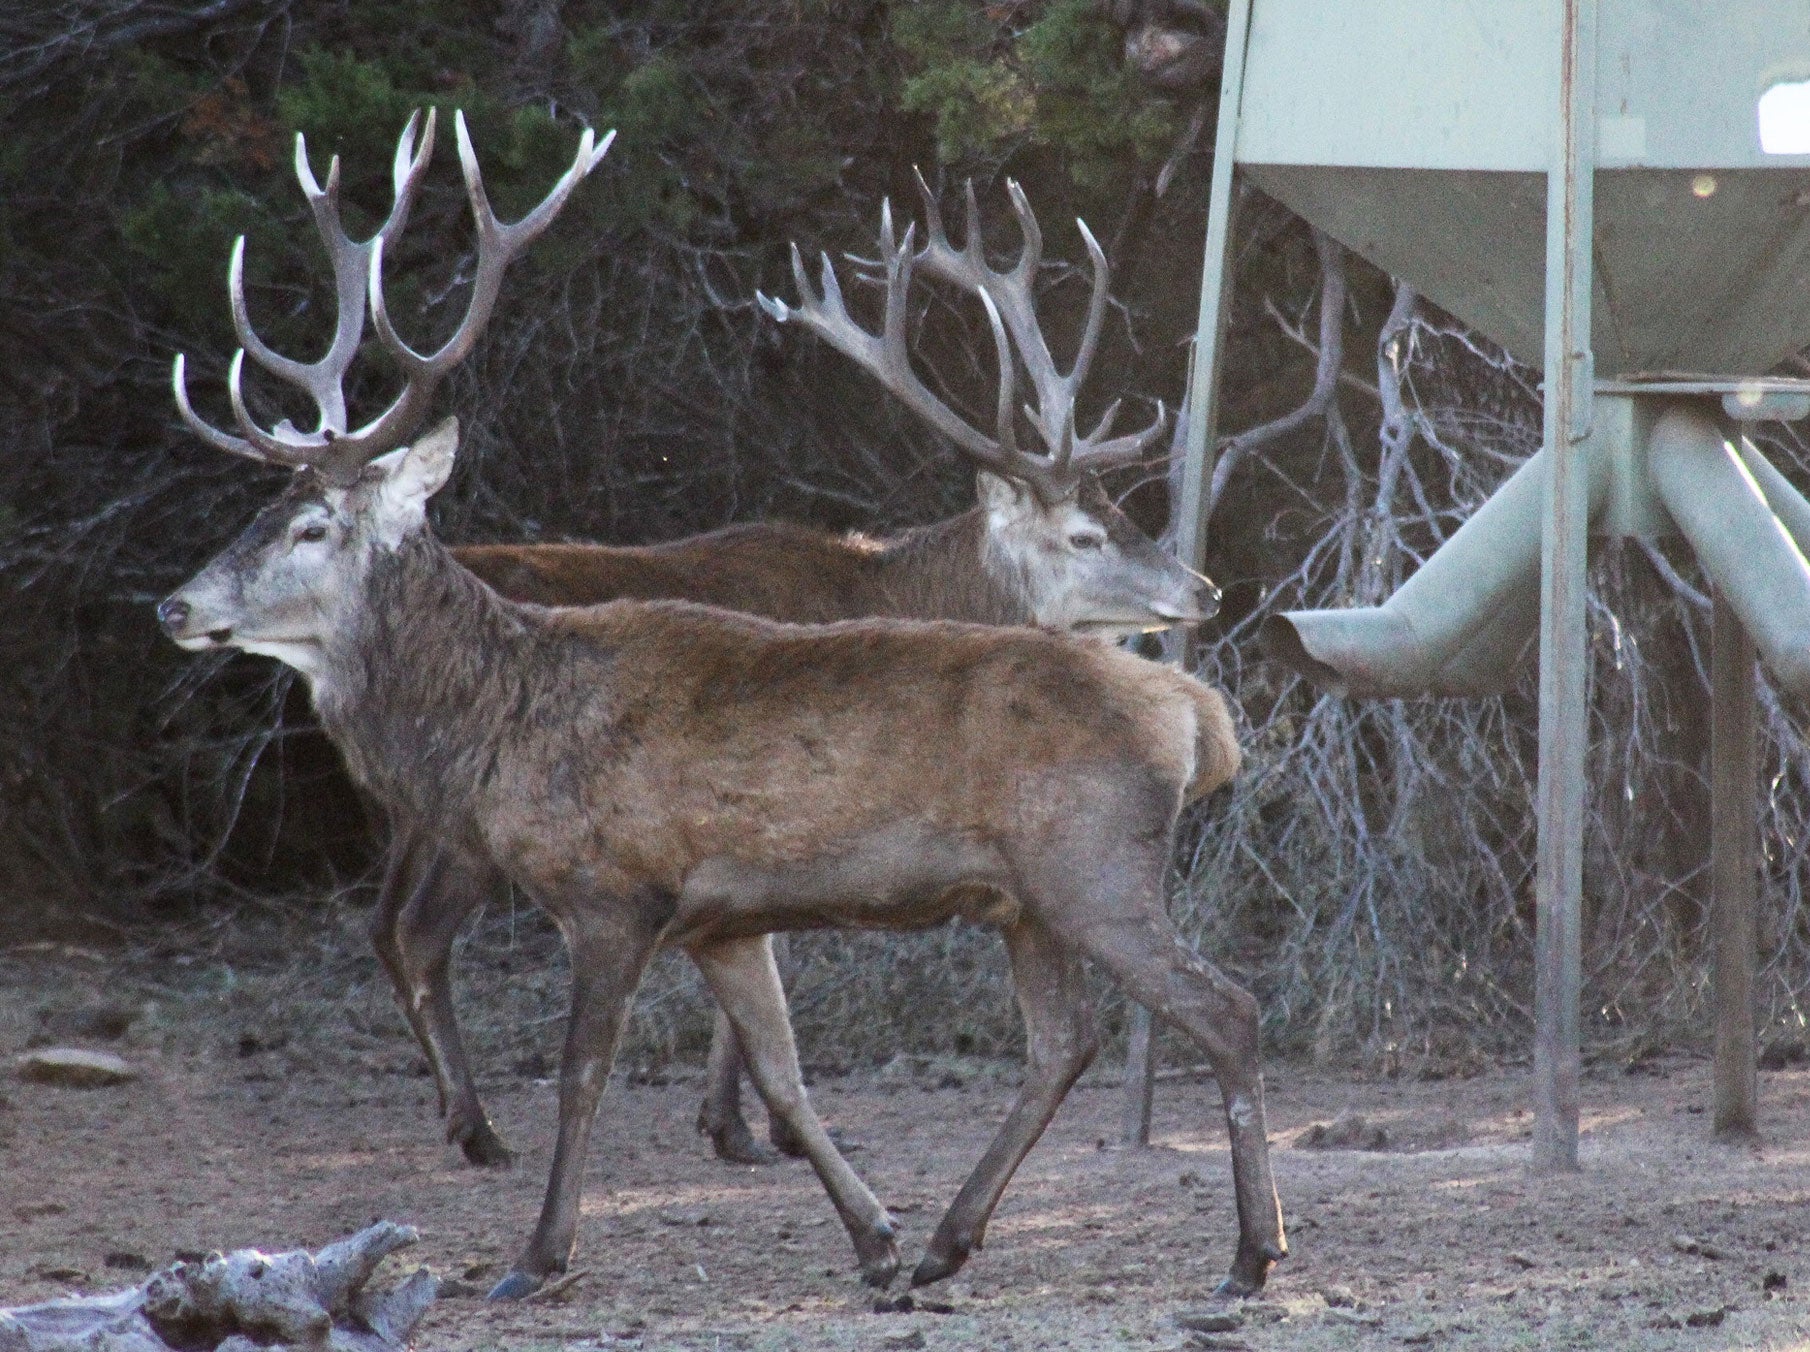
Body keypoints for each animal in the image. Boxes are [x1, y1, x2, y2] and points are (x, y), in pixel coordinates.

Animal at [160, 114, 1286, 1304]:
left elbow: (582, 1074)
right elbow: (785, 1070)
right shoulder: (722, 918)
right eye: (259, 511)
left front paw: (538, 1256)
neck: (503, 718)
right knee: (1062, 1040)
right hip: (1027, 897)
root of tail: (1199, 716)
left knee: (1224, 1009)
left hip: (1093, 866)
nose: (175, 603)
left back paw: (1250, 1253)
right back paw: (948, 1240)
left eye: (311, 525)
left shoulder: (614, 890)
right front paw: (873, 1236)